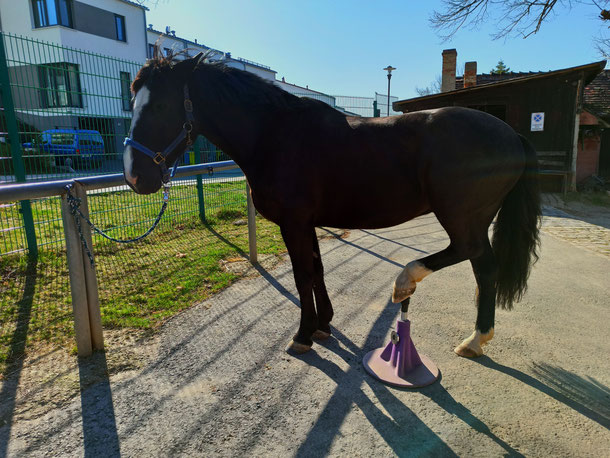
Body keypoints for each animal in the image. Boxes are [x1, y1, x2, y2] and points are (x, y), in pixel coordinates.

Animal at [122, 53, 536, 358]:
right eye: (132, 100)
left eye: (160, 105)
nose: (134, 176)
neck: (273, 135)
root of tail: (511, 134)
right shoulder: (307, 223)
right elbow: (317, 270)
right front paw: (323, 325)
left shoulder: (293, 223)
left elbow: (302, 275)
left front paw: (303, 335)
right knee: (481, 266)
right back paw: (473, 335)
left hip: (462, 217)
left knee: (473, 257)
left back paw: (428, 301)